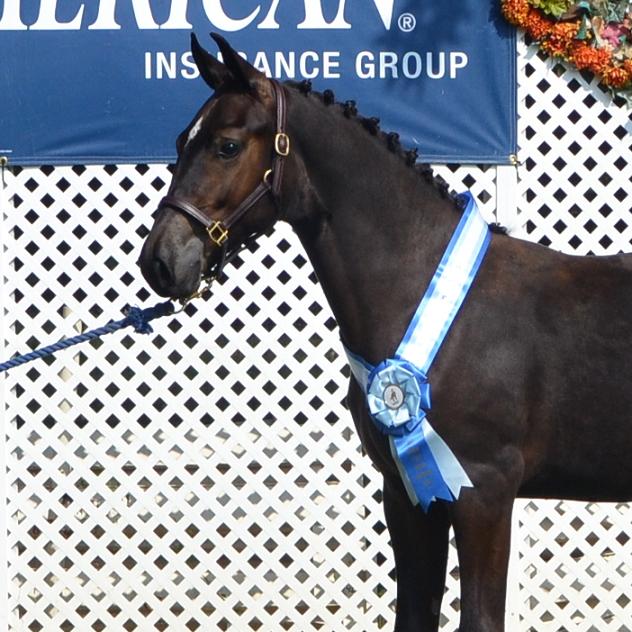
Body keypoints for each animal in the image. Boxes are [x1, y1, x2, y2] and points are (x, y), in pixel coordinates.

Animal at [139, 34, 632, 632]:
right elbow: (414, 612)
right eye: (181, 141)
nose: (160, 261)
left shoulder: (484, 491)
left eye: (227, 147)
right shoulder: (408, 494)